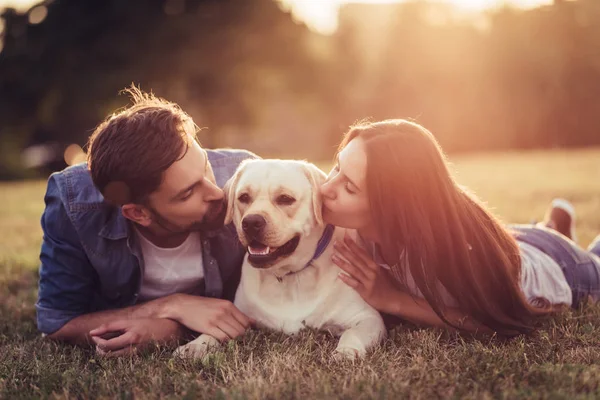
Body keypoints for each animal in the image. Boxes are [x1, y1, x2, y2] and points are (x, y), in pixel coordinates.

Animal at [176, 159, 386, 360]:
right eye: (244, 197)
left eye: (285, 199)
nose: (251, 222)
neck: (289, 276)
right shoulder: (240, 315)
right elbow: (214, 331)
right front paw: (196, 345)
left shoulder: (368, 318)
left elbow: (353, 333)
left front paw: (346, 351)